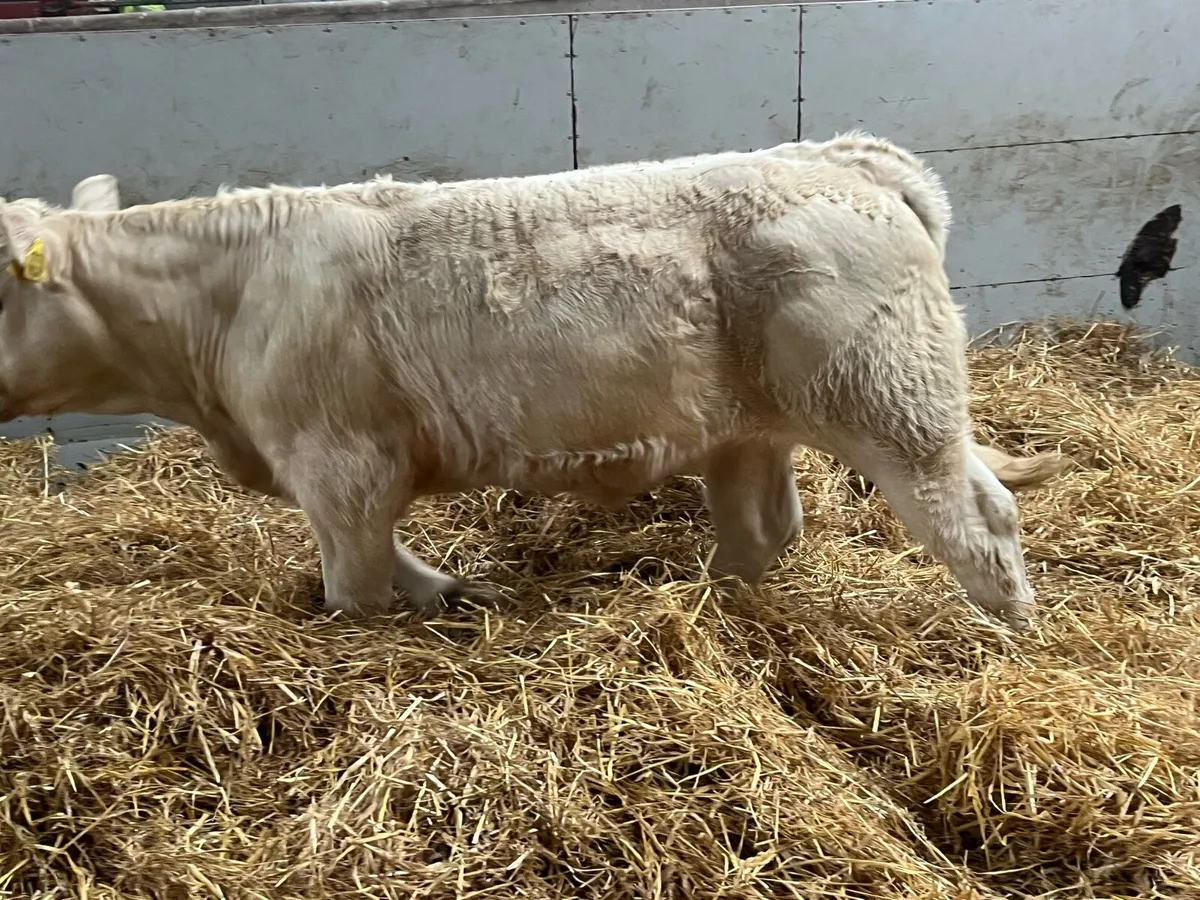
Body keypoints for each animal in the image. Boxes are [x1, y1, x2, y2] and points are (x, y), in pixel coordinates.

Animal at [0, 133, 1070, 630]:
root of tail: (837, 157)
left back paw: (1008, 639)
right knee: (766, 531)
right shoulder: (352, 477)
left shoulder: (341, 466)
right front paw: (456, 594)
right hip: (758, 426)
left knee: (980, 521)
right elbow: (396, 572)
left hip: (892, 406)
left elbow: (355, 589)